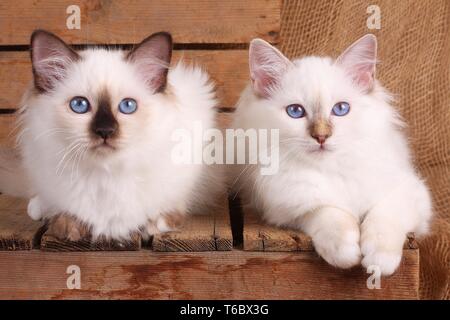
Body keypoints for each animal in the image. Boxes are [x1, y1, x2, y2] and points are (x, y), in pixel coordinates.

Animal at [0, 30, 221, 240]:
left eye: (128, 106)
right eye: (79, 105)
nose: (105, 131)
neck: (105, 173)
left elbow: (161, 214)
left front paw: (151, 225)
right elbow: (68, 215)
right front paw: (68, 226)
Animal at [232, 34, 432, 276]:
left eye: (341, 109)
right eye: (295, 111)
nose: (321, 136)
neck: (332, 168)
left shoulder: (410, 193)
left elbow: (384, 218)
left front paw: (378, 262)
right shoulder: (289, 207)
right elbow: (331, 215)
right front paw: (347, 255)